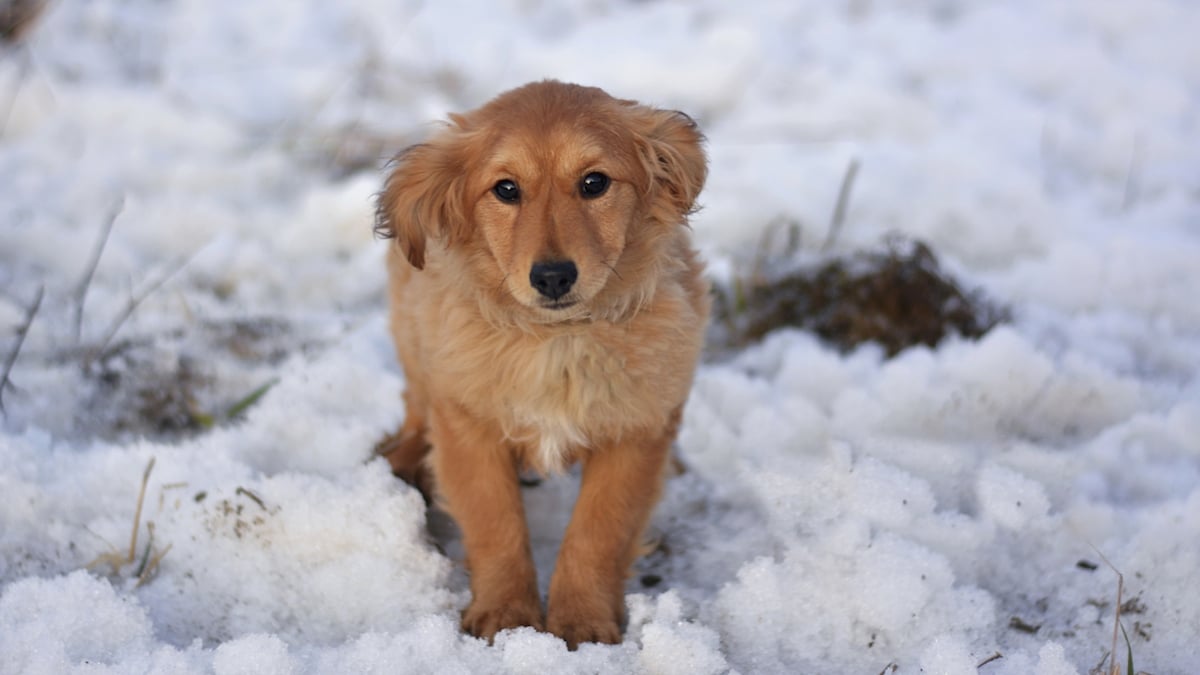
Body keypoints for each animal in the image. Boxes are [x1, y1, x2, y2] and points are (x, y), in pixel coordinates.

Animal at [374, 78, 705, 648]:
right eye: (506, 189)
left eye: (595, 183)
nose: (552, 276)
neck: (559, 340)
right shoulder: (468, 425)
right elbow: (495, 522)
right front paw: (507, 617)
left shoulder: (635, 432)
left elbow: (599, 530)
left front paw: (582, 621)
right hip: (412, 334)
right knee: (416, 403)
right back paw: (402, 459)